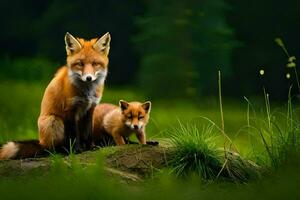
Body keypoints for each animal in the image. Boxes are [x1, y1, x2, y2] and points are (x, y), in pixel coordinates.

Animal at [0, 31, 111, 159]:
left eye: (95, 64)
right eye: (80, 64)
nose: (88, 78)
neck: (86, 92)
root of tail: (41, 142)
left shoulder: (90, 109)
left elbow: (88, 133)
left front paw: (90, 147)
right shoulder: (69, 110)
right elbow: (73, 135)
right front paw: (76, 150)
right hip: (54, 121)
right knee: (50, 150)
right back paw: (62, 150)